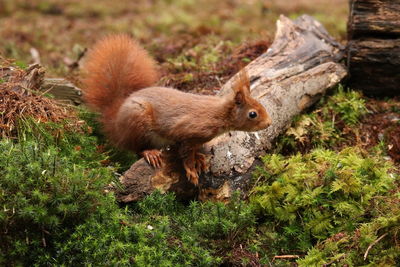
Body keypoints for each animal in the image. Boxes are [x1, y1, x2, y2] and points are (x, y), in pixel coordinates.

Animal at [81, 34, 272, 186]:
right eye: (252, 114)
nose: (269, 123)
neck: (219, 114)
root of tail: (116, 123)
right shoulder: (189, 132)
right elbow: (185, 154)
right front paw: (191, 171)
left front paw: (199, 158)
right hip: (138, 123)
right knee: (135, 147)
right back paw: (150, 153)